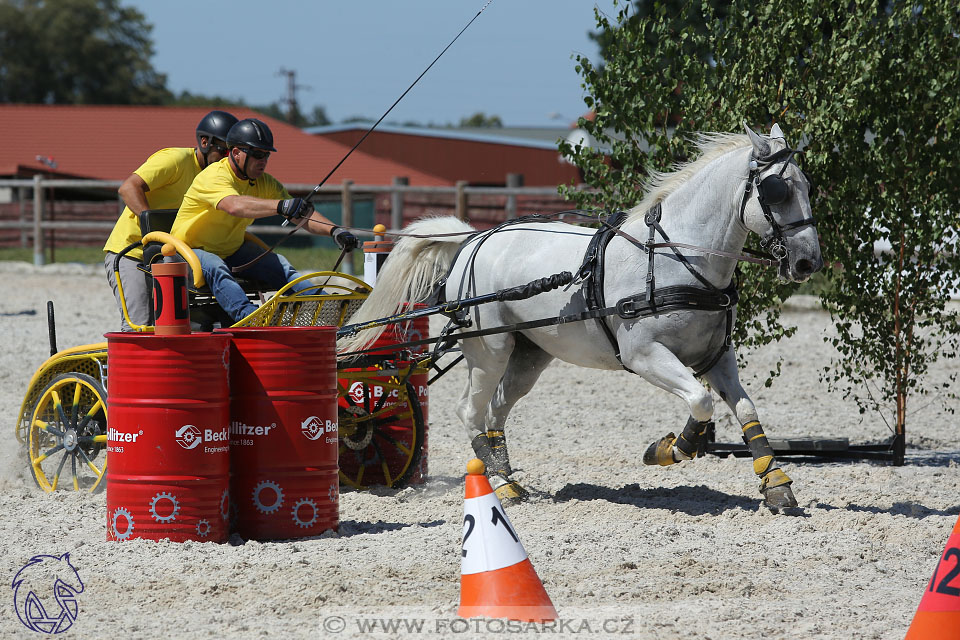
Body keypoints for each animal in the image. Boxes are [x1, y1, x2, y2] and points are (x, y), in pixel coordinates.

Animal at [342, 122, 820, 512]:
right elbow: (701, 402)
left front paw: (776, 485)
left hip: (528, 354)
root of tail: (475, 237)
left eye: (808, 187)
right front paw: (668, 449)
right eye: (777, 190)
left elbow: (744, 409)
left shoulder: (715, 356)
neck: (676, 258)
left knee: (495, 411)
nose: (807, 262)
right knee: (470, 411)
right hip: (488, 349)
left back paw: (509, 480)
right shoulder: (644, 355)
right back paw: (499, 485)